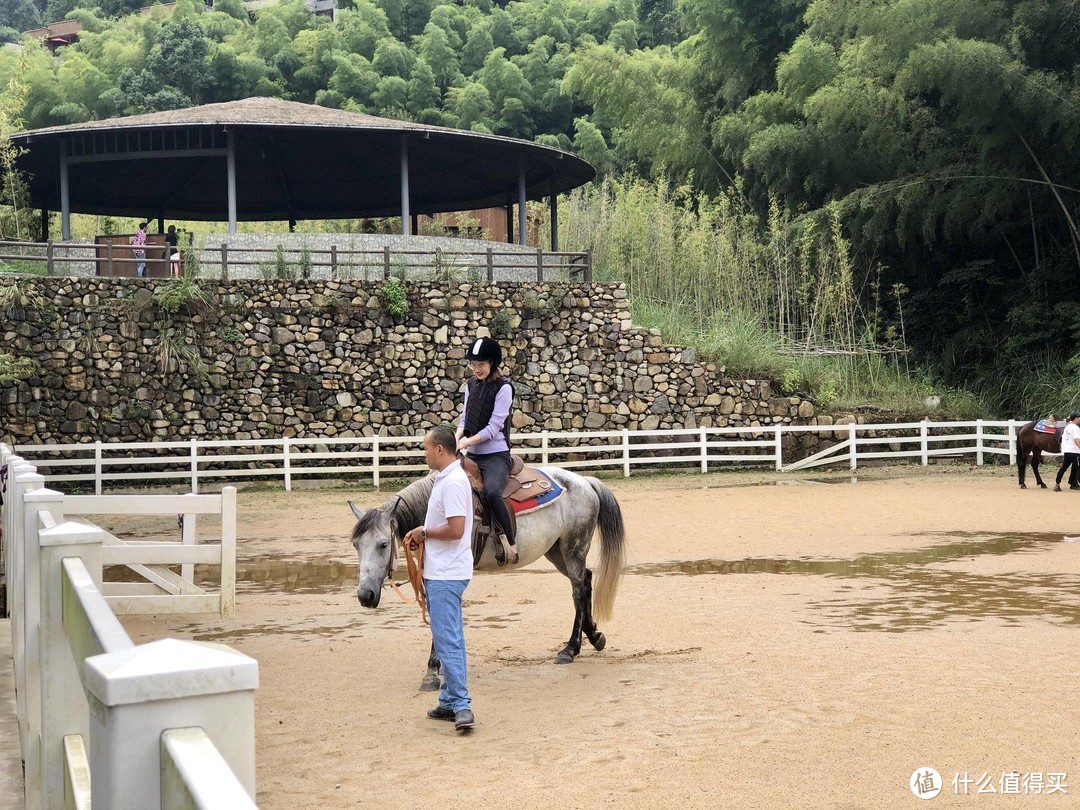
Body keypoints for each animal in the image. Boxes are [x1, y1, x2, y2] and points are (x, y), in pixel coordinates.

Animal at [349, 466, 630, 686]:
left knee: (578, 590)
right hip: (556, 551)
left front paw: (434, 668)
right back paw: (595, 637)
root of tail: (585, 482)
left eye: (383, 544)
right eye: (355, 544)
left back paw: (570, 649)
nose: (365, 595)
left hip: (573, 548)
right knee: (585, 581)